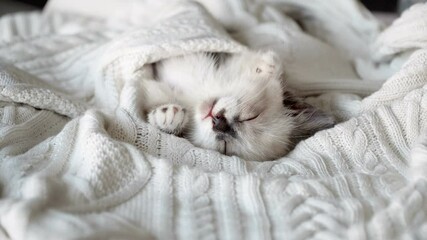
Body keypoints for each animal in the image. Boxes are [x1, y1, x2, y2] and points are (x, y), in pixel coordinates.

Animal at [141, 50, 334, 161]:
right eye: (251, 117)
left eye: (225, 147)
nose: (219, 123)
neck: (196, 98)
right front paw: (267, 67)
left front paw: (168, 117)